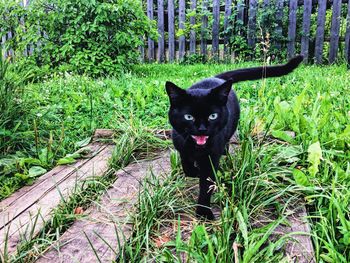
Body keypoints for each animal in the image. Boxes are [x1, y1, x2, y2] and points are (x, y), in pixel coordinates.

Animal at [165, 56, 302, 221]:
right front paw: (193, 171)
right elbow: (186, 163)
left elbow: (206, 185)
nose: (202, 129)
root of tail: (216, 78)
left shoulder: (211, 158)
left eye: (213, 116)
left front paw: (204, 212)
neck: (197, 149)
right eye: (188, 117)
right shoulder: (180, 143)